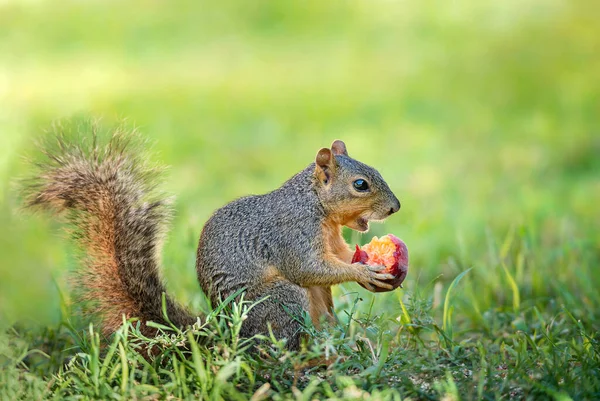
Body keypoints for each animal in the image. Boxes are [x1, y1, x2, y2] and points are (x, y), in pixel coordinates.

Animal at [23, 122, 400, 350]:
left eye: (376, 171)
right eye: (360, 184)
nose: (395, 207)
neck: (317, 207)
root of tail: (221, 333)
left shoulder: (332, 238)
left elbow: (338, 258)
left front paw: (367, 269)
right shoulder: (292, 232)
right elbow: (307, 268)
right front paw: (363, 271)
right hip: (280, 300)